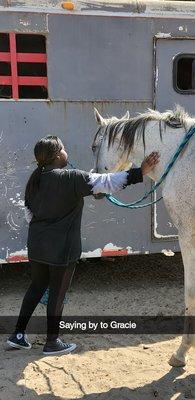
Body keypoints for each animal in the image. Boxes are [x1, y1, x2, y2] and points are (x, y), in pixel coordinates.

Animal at [92, 105, 195, 366]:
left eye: (94, 146)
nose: (95, 183)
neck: (182, 157)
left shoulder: (188, 235)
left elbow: (190, 292)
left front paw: (181, 352)